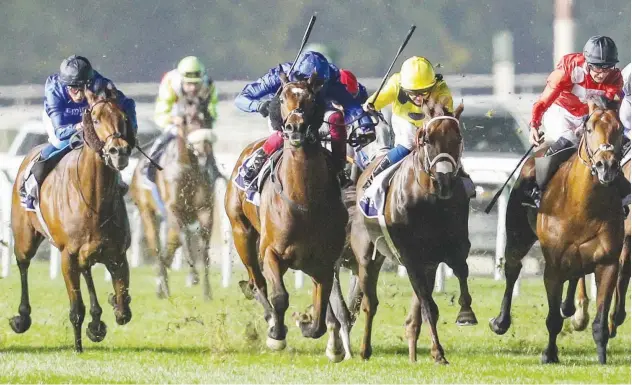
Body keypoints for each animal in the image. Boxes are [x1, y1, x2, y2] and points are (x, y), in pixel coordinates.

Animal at [9, 83, 133, 352]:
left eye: (125, 118)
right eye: (95, 119)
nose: (118, 151)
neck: (95, 199)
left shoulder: (117, 254)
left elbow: (123, 309)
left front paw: (107, 311)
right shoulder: (68, 255)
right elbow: (76, 307)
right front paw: (78, 345)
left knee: (89, 272)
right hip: (25, 238)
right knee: (23, 264)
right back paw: (22, 317)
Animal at [129, 94, 220, 298]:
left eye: (208, 117)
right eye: (187, 120)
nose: (204, 150)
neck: (188, 167)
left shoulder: (204, 209)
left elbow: (204, 244)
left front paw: (207, 292)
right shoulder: (173, 208)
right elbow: (185, 235)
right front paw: (192, 276)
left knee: (170, 244)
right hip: (148, 212)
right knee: (156, 245)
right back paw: (162, 282)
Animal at [226, 70, 348, 352]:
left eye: (311, 100)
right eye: (282, 98)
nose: (295, 127)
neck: (304, 200)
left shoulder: (324, 263)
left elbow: (320, 314)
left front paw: (307, 323)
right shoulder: (271, 251)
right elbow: (279, 296)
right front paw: (276, 334)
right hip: (242, 233)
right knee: (258, 282)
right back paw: (270, 317)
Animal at [348, 102, 476, 364]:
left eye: (458, 138)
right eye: (426, 139)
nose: (444, 181)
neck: (430, 201)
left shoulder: (450, 249)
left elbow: (461, 270)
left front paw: (466, 313)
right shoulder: (411, 258)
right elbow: (428, 306)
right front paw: (438, 352)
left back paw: (412, 354)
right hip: (367, 257)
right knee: (369, 303)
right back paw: (365, 350)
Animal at [488, 97, 624, 364]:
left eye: (621, 129)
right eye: (589, 129)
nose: (606, 166)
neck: (583, 206)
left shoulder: (608, 262)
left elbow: (600, 321)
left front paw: (602, 359)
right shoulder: (553, 264)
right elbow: (552, 319)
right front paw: (549, 354)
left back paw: (571, 308)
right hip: (518, 235)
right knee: (513, 267)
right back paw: (501, 321)